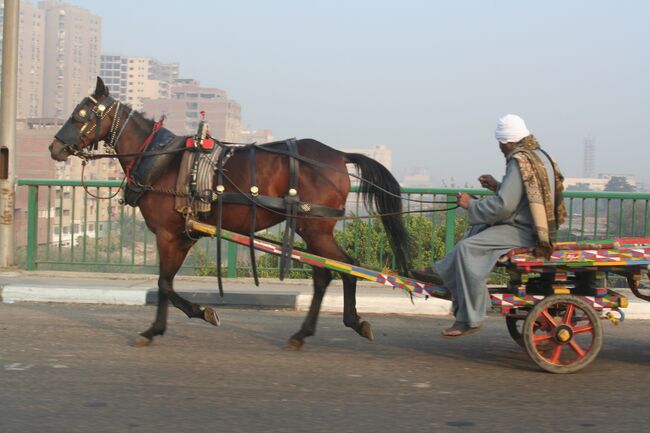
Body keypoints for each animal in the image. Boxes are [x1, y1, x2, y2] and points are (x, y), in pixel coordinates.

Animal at [49, 77, 410, 348]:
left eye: (81, 113)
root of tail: (338, 155)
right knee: (328, 274)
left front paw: (162, 327)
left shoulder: (169, 235)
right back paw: (309, 331)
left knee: (345, 268)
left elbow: (164, 284)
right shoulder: (186, 235)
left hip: (315, 227)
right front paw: (189, 316)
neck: (161, 159)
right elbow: (167, 284)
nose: (55, 147)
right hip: (312, 230)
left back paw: (346, 323)